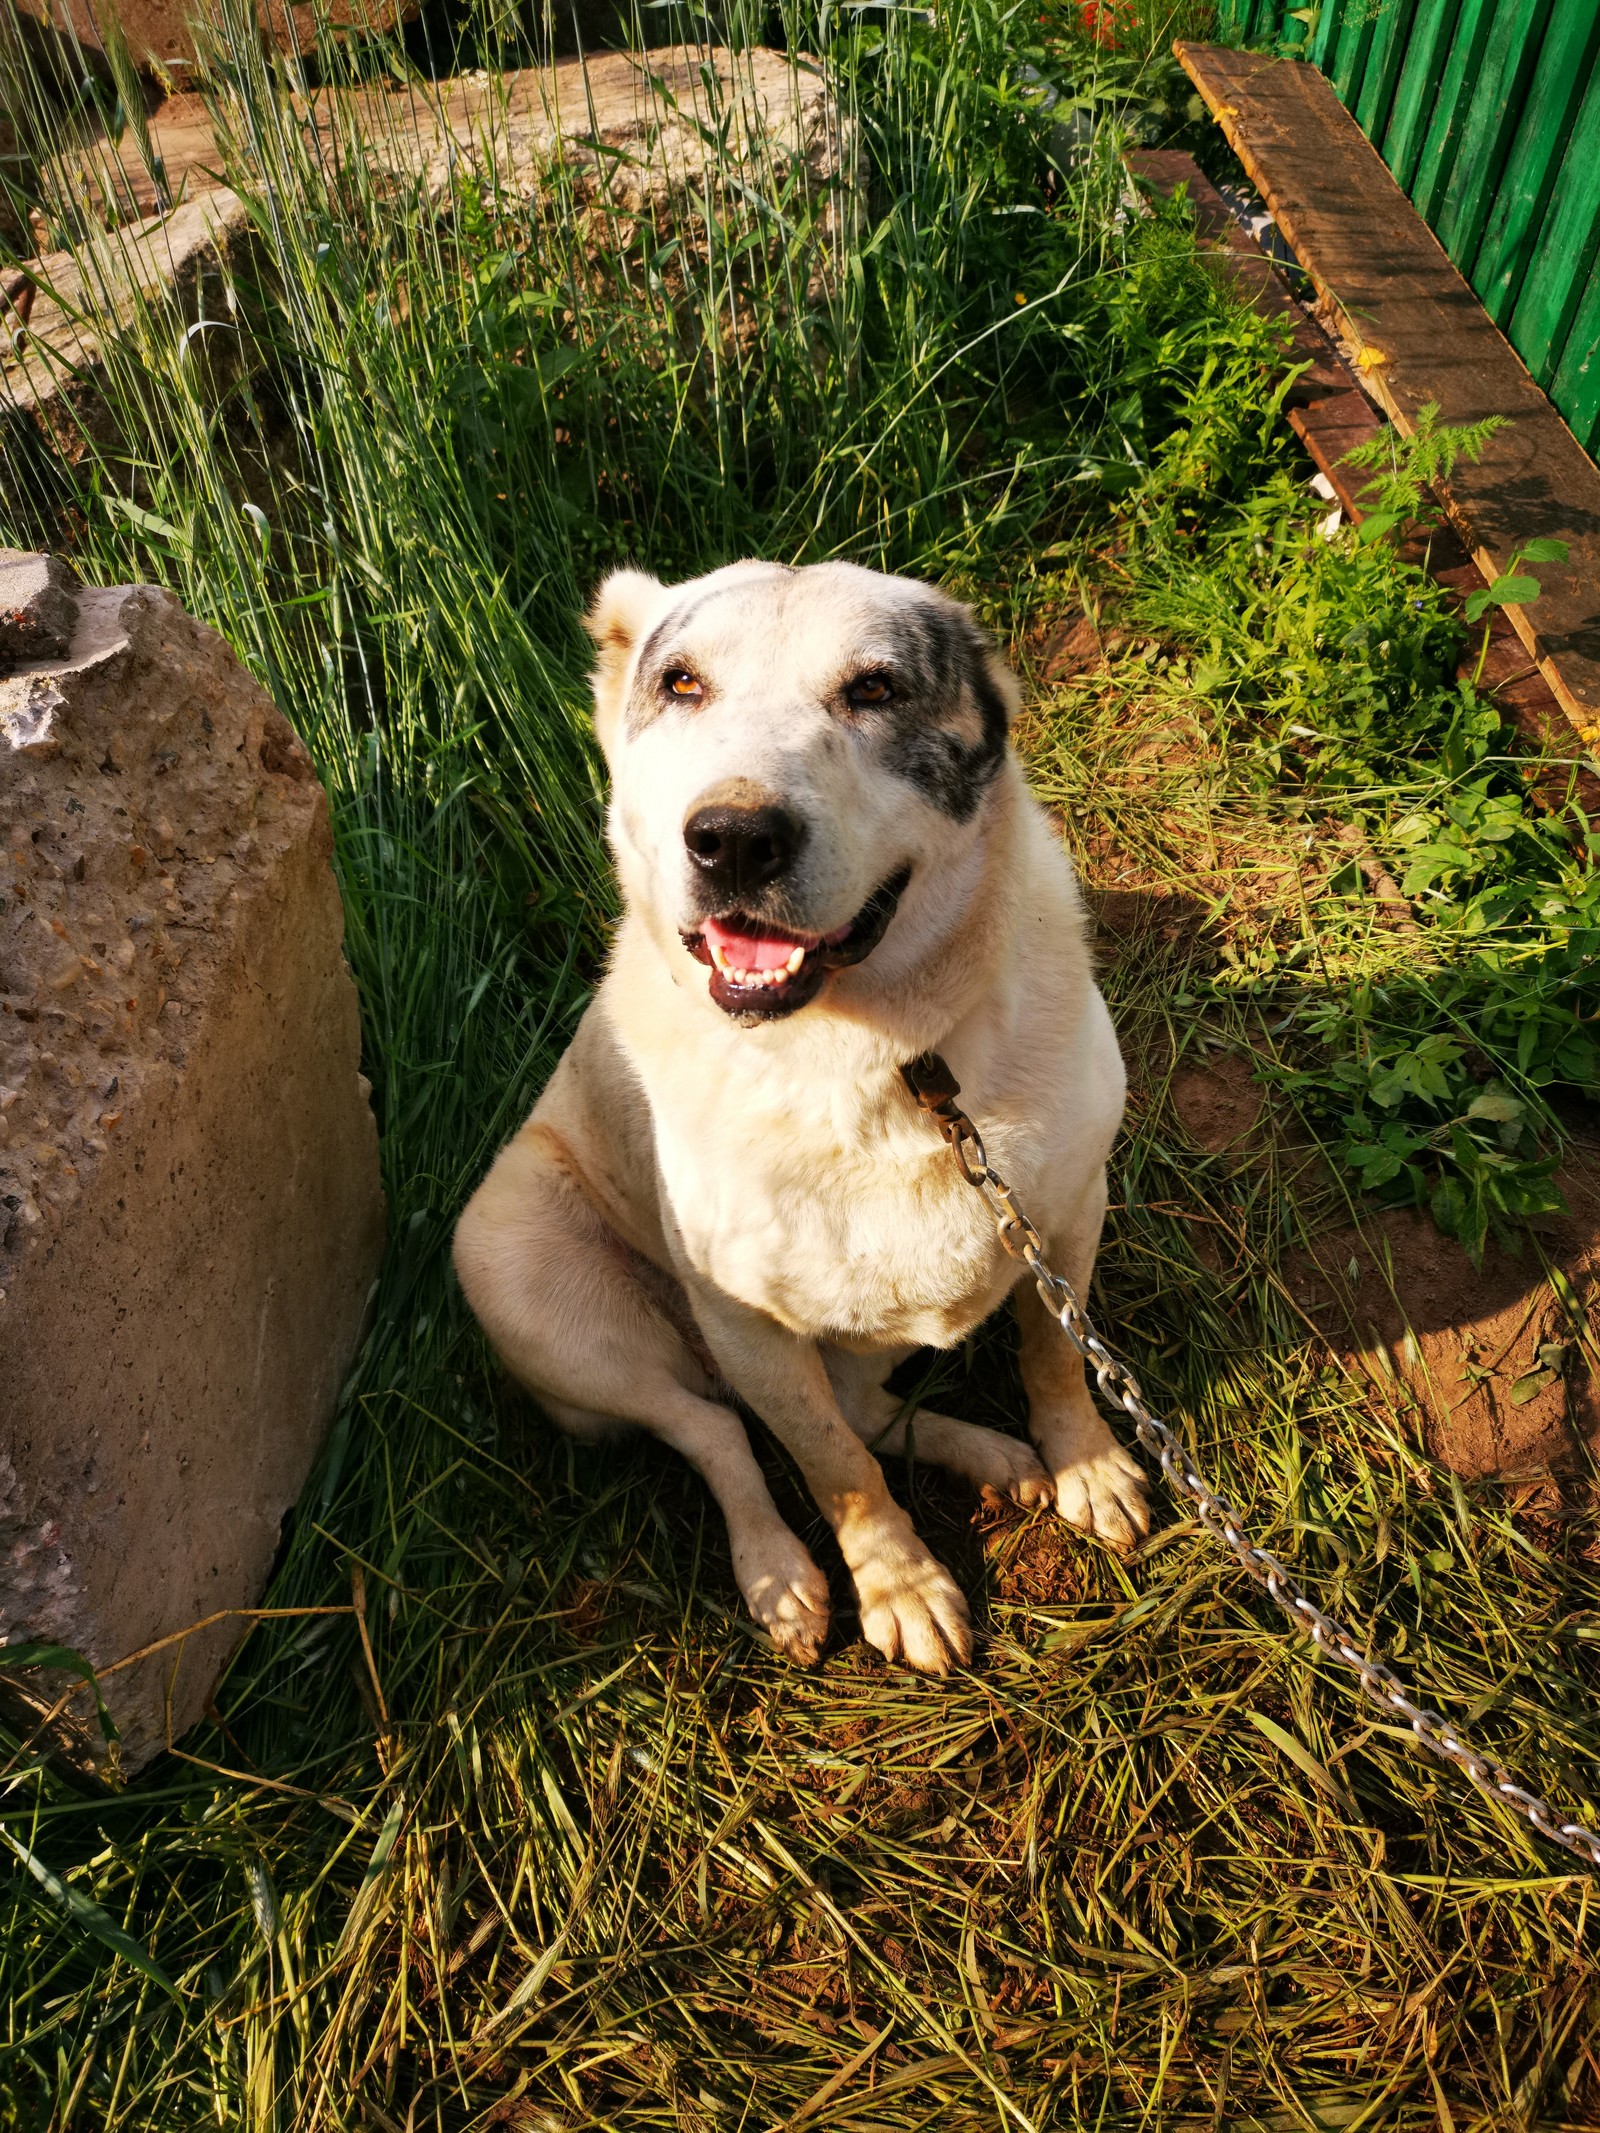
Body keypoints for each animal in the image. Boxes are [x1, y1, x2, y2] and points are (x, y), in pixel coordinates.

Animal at [456, 558, 1143, 1672]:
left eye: (874, 689)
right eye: (682, 684)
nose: (734, 837)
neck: (880, 1059)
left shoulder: (1068, 1210)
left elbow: (1052, 1351)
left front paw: (1084, 1461)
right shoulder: (750, 1324)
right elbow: (831, 1466)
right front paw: (898, 1584)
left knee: (863, 1406)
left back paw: (995, 1454)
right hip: (517, 1269)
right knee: (721, 1431)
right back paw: (777, 1571)